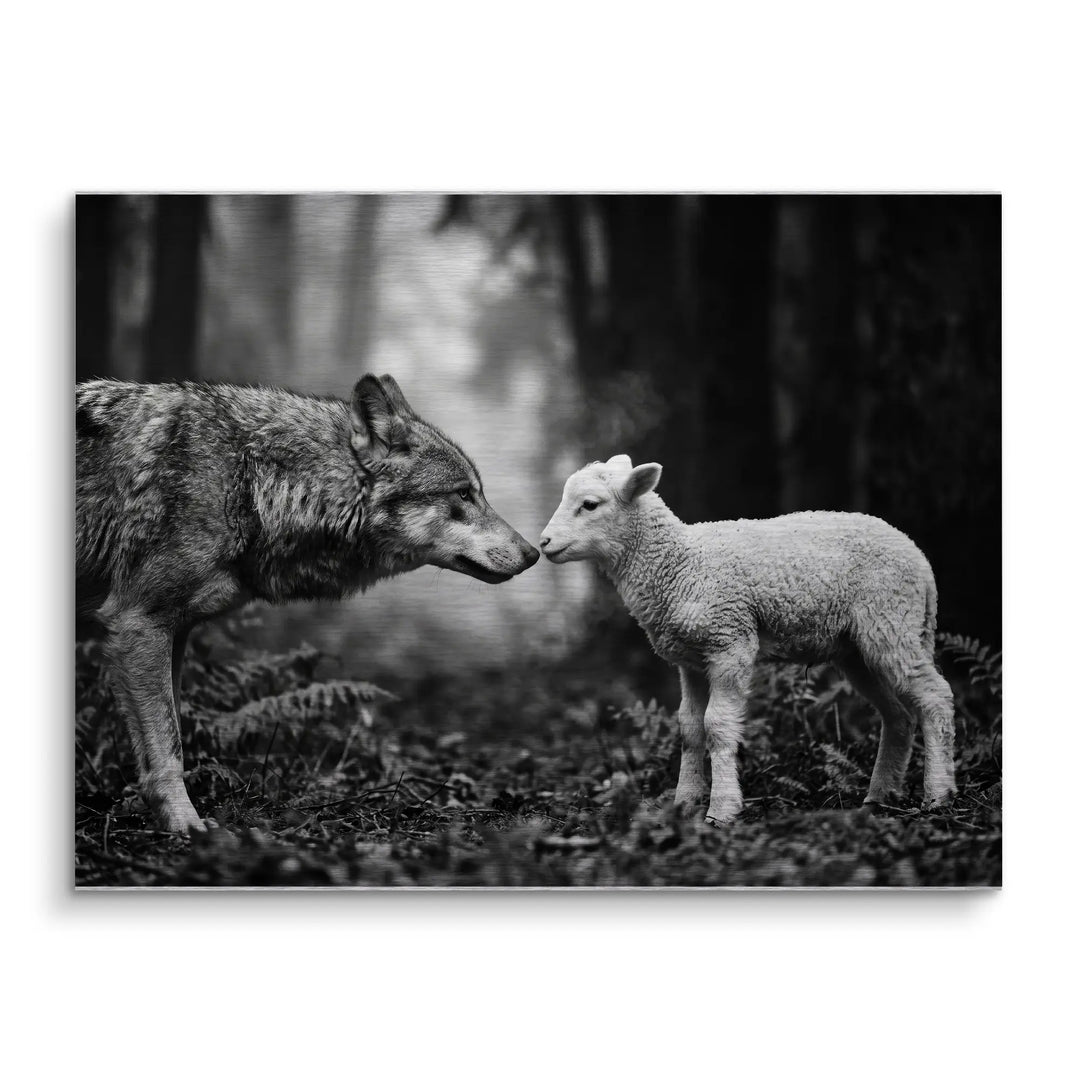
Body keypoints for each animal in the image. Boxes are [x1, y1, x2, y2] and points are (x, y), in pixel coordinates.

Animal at [76, 373, 539, 833]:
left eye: (477, 493)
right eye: (463, 495)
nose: (534, 553)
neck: (252, 480)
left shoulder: (173, 632)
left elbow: (166, 741)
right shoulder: (140, 623)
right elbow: (169, 744)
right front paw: (185, 826)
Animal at [539, 454, 956, 826]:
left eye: (590, 504)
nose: (544, 542)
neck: (679, 564)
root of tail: (920, 561)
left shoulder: (730, 641)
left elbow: (717, 725)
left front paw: (722, 810)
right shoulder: (691, 659)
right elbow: (689, 728)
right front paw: (684, 804)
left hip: (891, 619)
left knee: (936, 698)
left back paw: (937, 795)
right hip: (859, 647)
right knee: (898, 715)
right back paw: (880, 796)